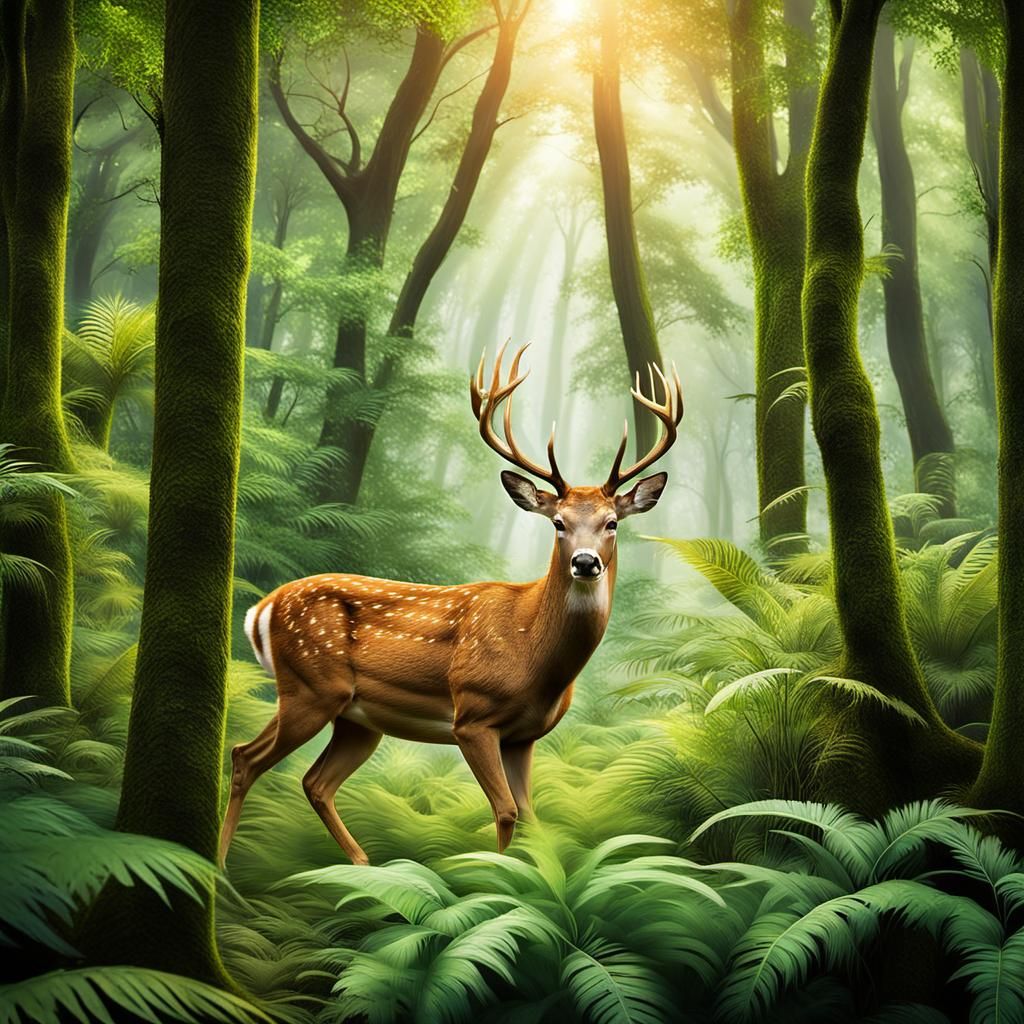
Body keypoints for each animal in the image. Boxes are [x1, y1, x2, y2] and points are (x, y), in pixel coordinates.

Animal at [218, 342, 683, 867]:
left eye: (612, 523)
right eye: (559, 522)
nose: (586, 563)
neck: (534, 653)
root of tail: (260, 610)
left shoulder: (524, 735)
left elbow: (532, 816)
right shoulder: (472, 716)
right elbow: (506, 812)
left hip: (356, 719)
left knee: (314, 781)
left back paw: (364, 866)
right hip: (309, 687)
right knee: (246, 757)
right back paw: (221, 868)